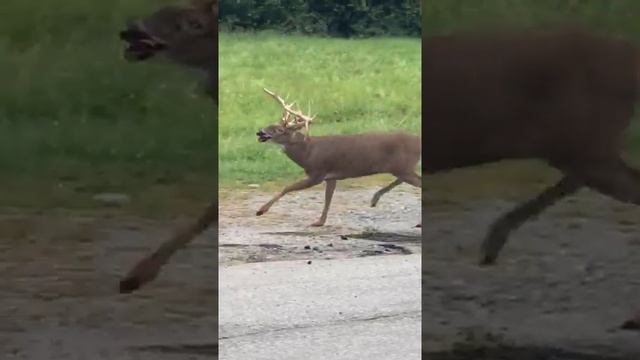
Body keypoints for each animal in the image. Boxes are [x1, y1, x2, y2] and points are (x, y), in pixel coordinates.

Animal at [252, 88, 422, 226]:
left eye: (279, 129)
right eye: (271, 123)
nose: (260, 132)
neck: (308, 152)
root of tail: (419, 141)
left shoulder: (317, 173)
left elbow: (288, 187)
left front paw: (261, 210)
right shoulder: (331, 176)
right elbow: (328, 198)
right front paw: (320, 222)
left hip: (403, 166)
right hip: (401, 167)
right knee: (404, 179)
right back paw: (375, 199)